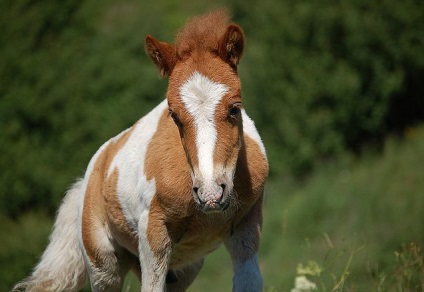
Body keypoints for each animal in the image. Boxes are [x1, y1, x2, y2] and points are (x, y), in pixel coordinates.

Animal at [14, 9, 268, 292]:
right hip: (103, 265)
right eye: (175, 116)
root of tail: (91, 173)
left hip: (183, 270)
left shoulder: (247, 227)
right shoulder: (152, 235)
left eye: (235, 108)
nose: (210, 193)